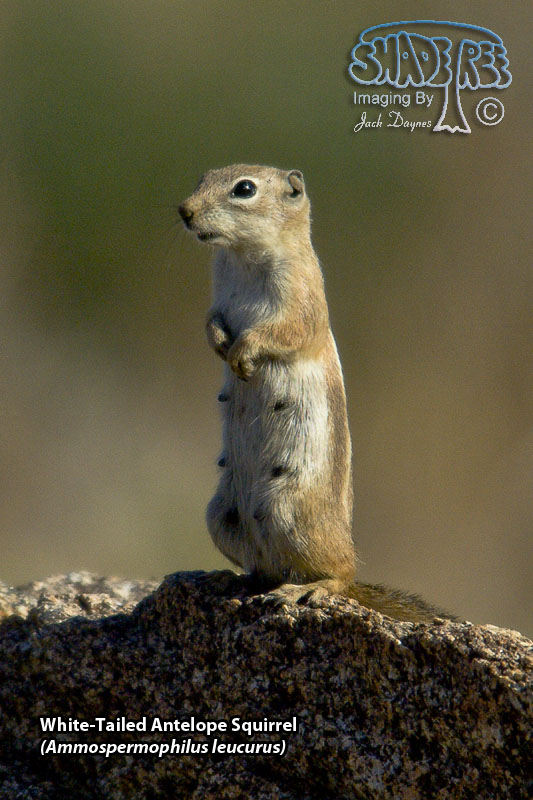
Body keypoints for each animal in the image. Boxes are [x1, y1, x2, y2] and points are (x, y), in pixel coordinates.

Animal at [179, 164, 456, 623]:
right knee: (261, 568)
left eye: (244, 189)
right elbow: (210, 320)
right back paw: (229, 579)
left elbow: (286, 331)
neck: (241, 257)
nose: (185, 210)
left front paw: (242, 354)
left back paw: (303, 590)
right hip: (220, 515)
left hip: (292, 512)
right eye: (202, 178)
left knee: (340, 574)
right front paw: (219, 343)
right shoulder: (216, 298)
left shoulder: (301, 299)